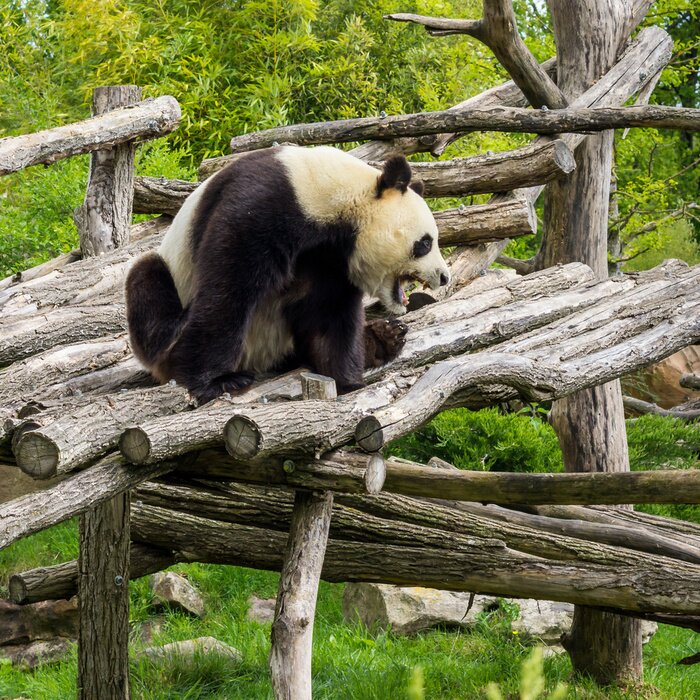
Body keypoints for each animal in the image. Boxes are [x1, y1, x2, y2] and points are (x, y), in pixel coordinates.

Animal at [125, 145, 450, 404]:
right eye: (425, 243)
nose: (444, 276)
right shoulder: (261, 207)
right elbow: (228, 290)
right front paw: (216, 382)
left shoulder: (330, 259)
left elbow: (329, 315)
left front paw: (347, 381)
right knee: (147, 280)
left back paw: (386, 337)